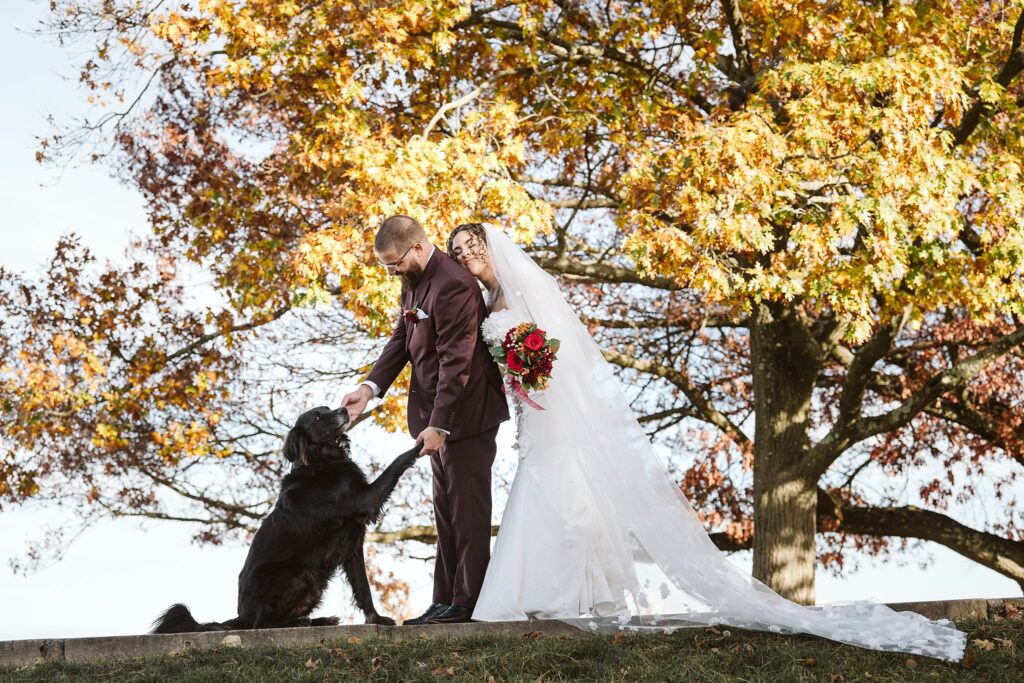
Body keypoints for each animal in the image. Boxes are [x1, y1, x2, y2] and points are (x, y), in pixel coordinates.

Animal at [149, 403, 419, 634]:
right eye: (317, 417)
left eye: (327, 408)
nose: (344, 409)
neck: (322, 461)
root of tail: (241, 617)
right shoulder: (366, 499)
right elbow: (396, 463)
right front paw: (419, 445)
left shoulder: (352, 543)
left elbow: (363, 588)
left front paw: (377, 619)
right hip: (297, 574)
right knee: (263, 624)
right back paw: (303, 623)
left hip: (314, 584)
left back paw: (318, 620)